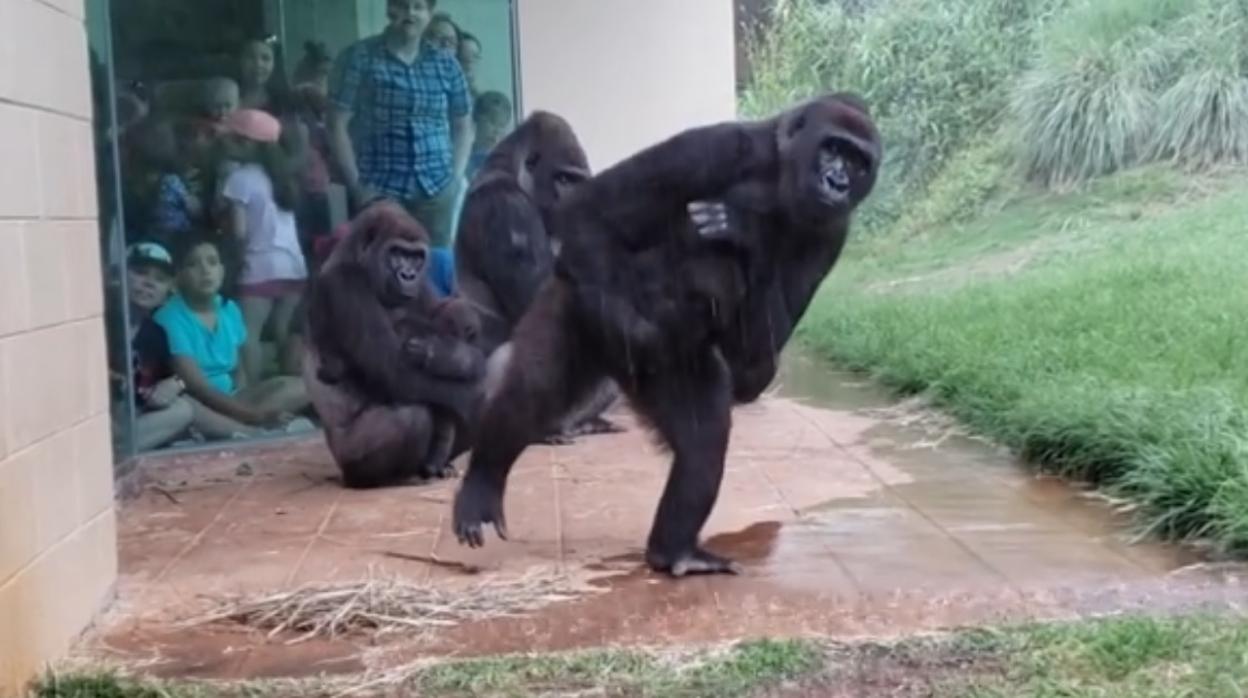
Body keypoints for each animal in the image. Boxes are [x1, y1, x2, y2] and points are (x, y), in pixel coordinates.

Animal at [302, 199, 486, 489]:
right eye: (396, 253)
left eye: (416, 257)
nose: (408, 274)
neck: (353, 256)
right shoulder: (345, 284)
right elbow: (395, 372)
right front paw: (469, 392)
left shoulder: (423, 284)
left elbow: (457, 323)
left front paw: (450, 354)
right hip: (347, 458)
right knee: (411, 417)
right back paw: (383, 478)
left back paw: (439, 465)